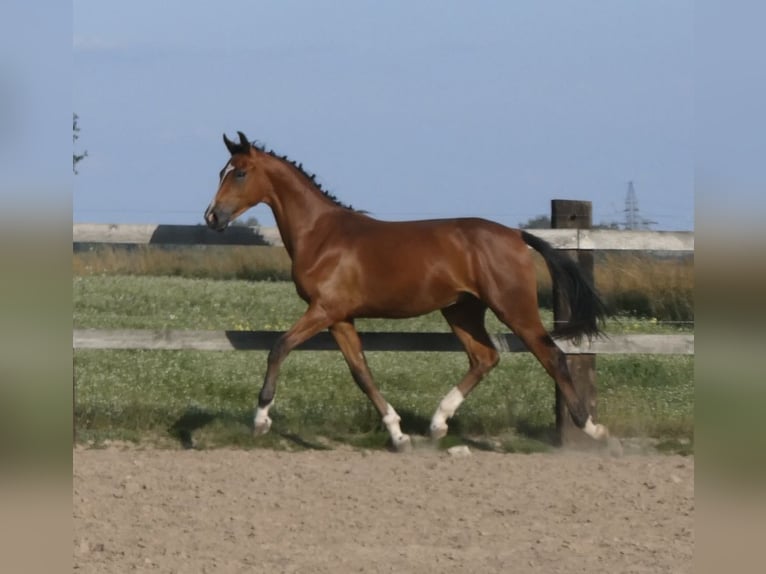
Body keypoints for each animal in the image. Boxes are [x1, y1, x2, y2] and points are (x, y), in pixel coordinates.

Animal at [205, 131, 610, 451]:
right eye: (221, 172)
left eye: (239, 173)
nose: (212, 217)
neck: (321, 235)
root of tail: (515, 234)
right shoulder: (341, 318)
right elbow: (361, 372)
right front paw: (398, 435)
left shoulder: (324, 310)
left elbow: (279, 347)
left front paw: (260, 420)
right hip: (461, 309)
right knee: (484, 357)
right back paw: (437, 424)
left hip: (513, 306)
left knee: (551, 356)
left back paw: (592, 430)